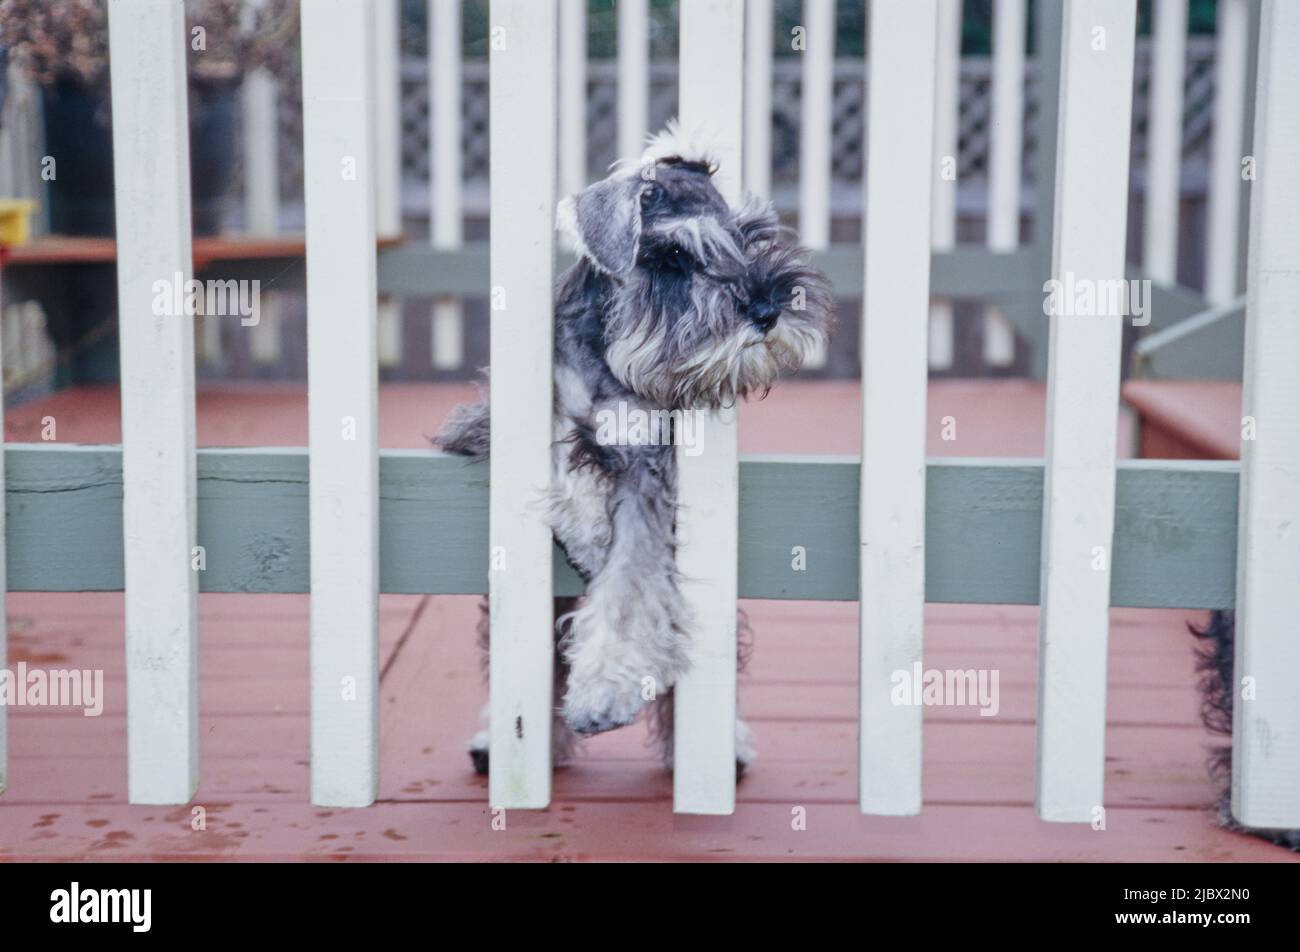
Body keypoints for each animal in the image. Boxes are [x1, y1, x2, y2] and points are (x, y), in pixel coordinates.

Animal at [436, 124, 832, 780]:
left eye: (752, 236)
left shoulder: (652, 466)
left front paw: (604, 690)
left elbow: (628, 581)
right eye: (671, 257)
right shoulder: (490, 424)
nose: (770, 309)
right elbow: (561, 454)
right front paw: (588, 525)